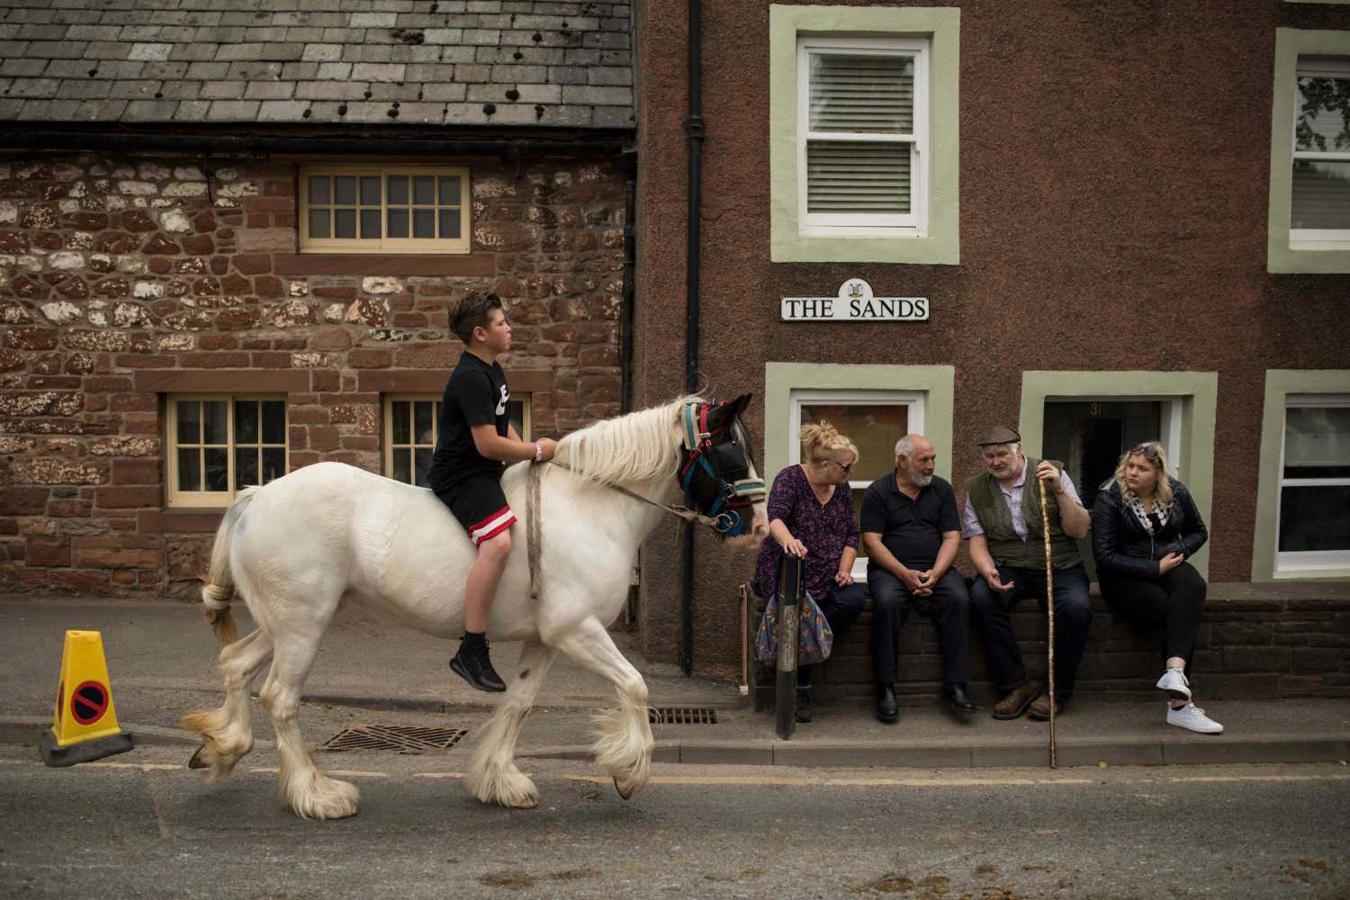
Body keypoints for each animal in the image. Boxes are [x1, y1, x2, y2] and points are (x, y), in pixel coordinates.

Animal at [183, 391, 766, 814]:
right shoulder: (577, 630)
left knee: (235, 664)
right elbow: (636, 685)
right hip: (303, 625)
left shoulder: (546, 639)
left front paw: (498, 781)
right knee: (280, 697)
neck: (590, 507)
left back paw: (224, 746)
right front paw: (629, 771)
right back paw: (316, 793)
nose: (759, 525)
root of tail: (258, 494)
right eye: (730, 450)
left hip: (286, 623)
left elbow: (519, 704)